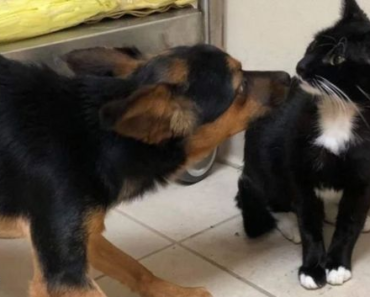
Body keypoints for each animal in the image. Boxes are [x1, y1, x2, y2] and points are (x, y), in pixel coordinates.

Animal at [0, 44, 290, 296]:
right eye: (240, 86)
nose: (289, 76)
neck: (100, 139)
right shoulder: (64, 277)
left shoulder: (87, 236)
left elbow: (134, 267)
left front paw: (175, 292)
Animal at [236, 0, 370, 290]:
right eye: (313, 45)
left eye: (337, 58)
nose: (300, 66)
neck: (339, 112)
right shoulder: (299, 171)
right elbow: (309, 222)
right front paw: (312, 268)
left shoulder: (362, 178)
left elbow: (350, 223)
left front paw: (338, 264)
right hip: (264, 159)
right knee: (271, 198)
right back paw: (289, 224)